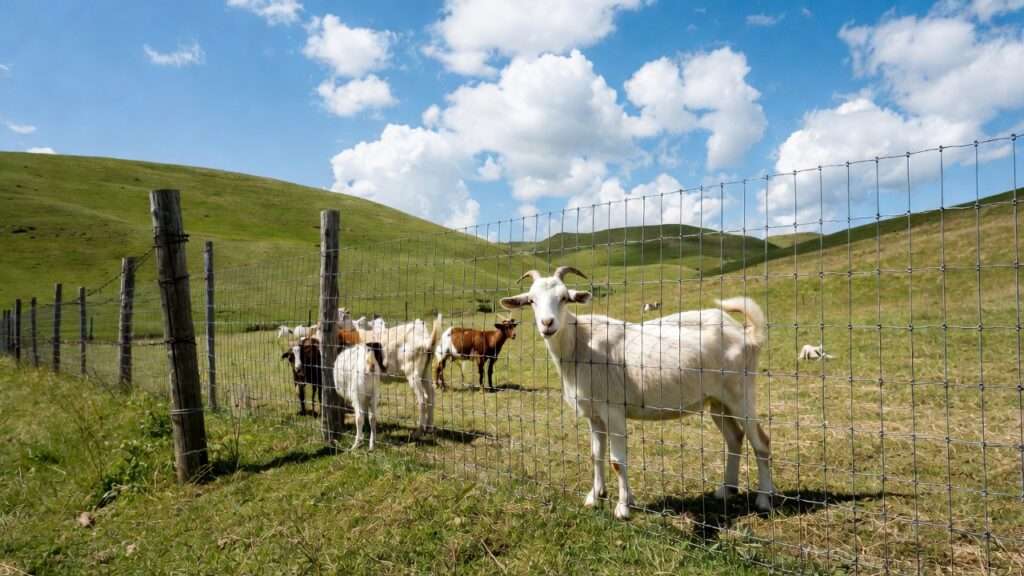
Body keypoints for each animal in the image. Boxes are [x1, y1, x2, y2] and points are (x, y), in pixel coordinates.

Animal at [500, 266, 773, 519]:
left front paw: (622, 508)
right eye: (531, 300)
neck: (580, 345)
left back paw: (764, 500)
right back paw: (727, 490)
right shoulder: (593, 414)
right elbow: (596, 455)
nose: (547, 324)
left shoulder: (613, 409)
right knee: (735, 438)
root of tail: (748, 334)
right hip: (718, 401)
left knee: (761, 441)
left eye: (565, 298)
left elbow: (617, 461)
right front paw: (595, 497)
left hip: (741, 393)